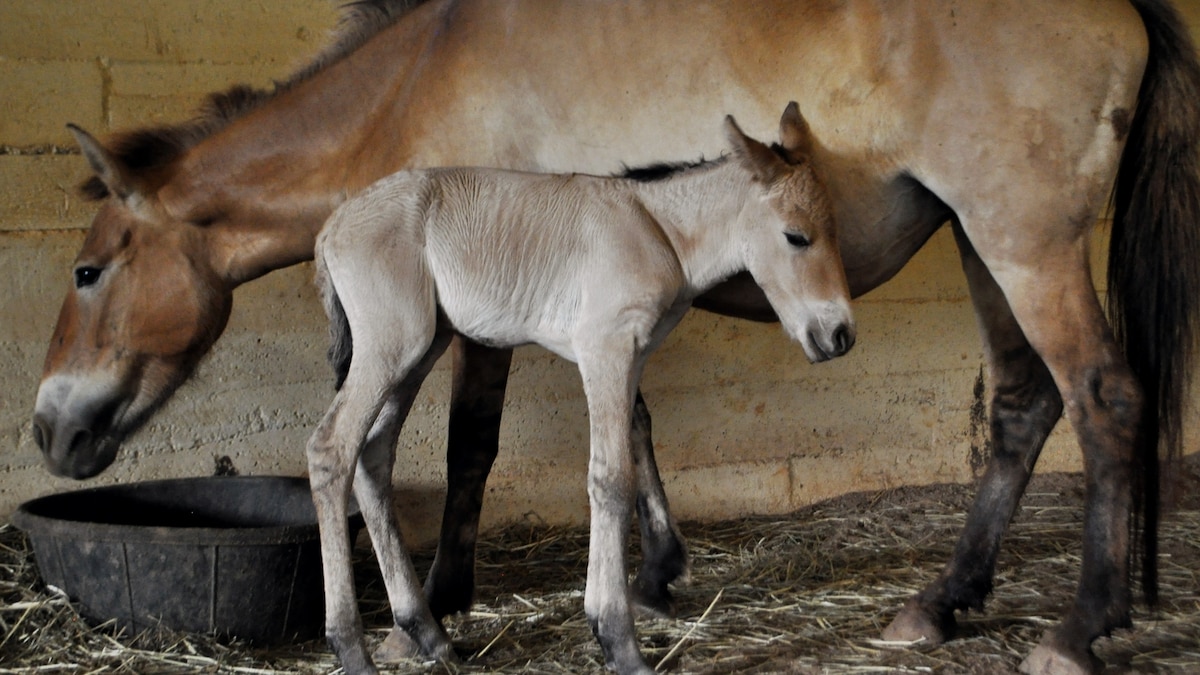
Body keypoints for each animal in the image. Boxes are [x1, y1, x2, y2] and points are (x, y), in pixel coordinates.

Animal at [308, 105, 852, 674]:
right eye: (796, 237)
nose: (840, 334)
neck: (658, 230)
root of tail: (330, 229)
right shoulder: (603, 350)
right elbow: (611, 478)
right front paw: (619, 640)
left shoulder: (631, 356)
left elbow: (633, 446)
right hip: (392, 346)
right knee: (331, 449)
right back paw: (351, 647)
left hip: (418, 349)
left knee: (373, 456)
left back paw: (428, 633)